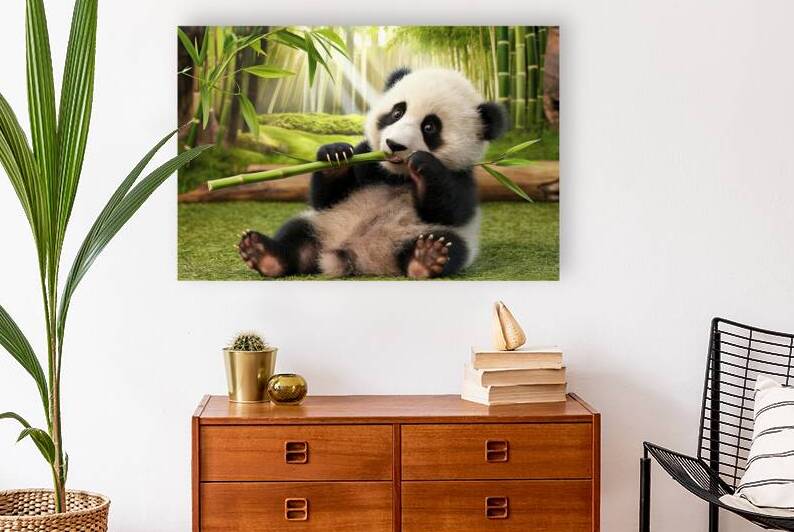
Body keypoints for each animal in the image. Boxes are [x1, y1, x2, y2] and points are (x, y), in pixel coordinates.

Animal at [238, 67, 507, 279]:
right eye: (397, 112)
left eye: (430, 127)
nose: (394, 144)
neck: (396, 175)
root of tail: (354, 255)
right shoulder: (367, 158)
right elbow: (326, 197)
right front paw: (335, 154)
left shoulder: (463, 175)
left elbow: (451, 210)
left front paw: (424, 163)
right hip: (324, 223)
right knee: (296, 234)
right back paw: (263, 254)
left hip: (422, 235)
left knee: (450, 244)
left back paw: (426, 259)